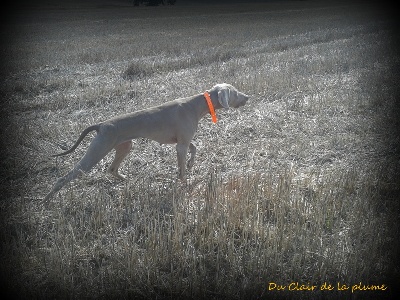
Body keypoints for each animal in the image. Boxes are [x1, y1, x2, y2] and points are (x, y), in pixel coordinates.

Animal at [43, 83, 247, 202]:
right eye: (235, 92)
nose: (248, 97)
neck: (196, 104)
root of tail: (101, 125)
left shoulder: (182, 140)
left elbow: (195, 147)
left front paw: (190, 164)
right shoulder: (180, 145)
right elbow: (182, 170)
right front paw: (185, 183)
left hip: (125, 146)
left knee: (111, 169)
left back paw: (126, 179)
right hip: (97, 152)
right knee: (64, 177)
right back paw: (46, 201)